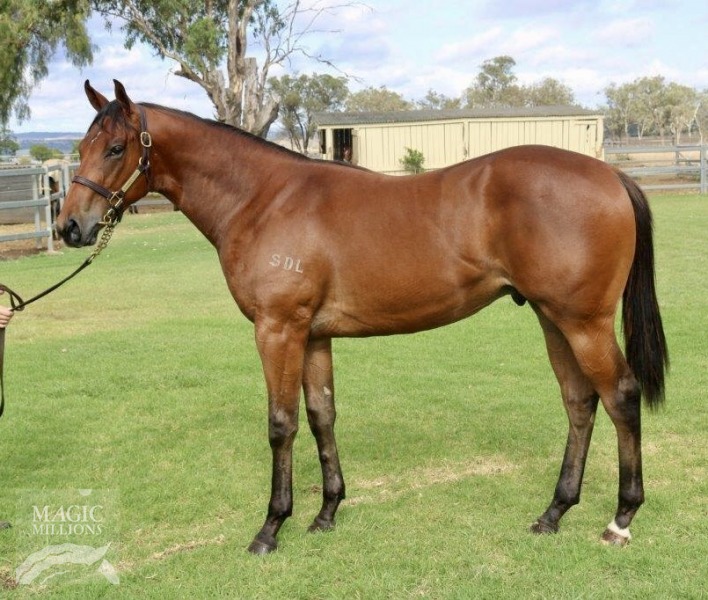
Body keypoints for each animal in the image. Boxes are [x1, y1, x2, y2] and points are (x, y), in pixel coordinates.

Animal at [56, 80, 668, 555]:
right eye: (81, 146)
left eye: (115, 147)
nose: (70, 228)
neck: (264, 199)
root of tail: (611, 177)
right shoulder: (312, 336)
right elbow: (321, 416)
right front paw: (326, 512)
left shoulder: (277, 329)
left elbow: (281, 425)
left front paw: (270, 528)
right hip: (551, 317)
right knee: (580, 402)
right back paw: (554, 512)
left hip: (583, 322)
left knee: (620, 396)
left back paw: (620, 519)